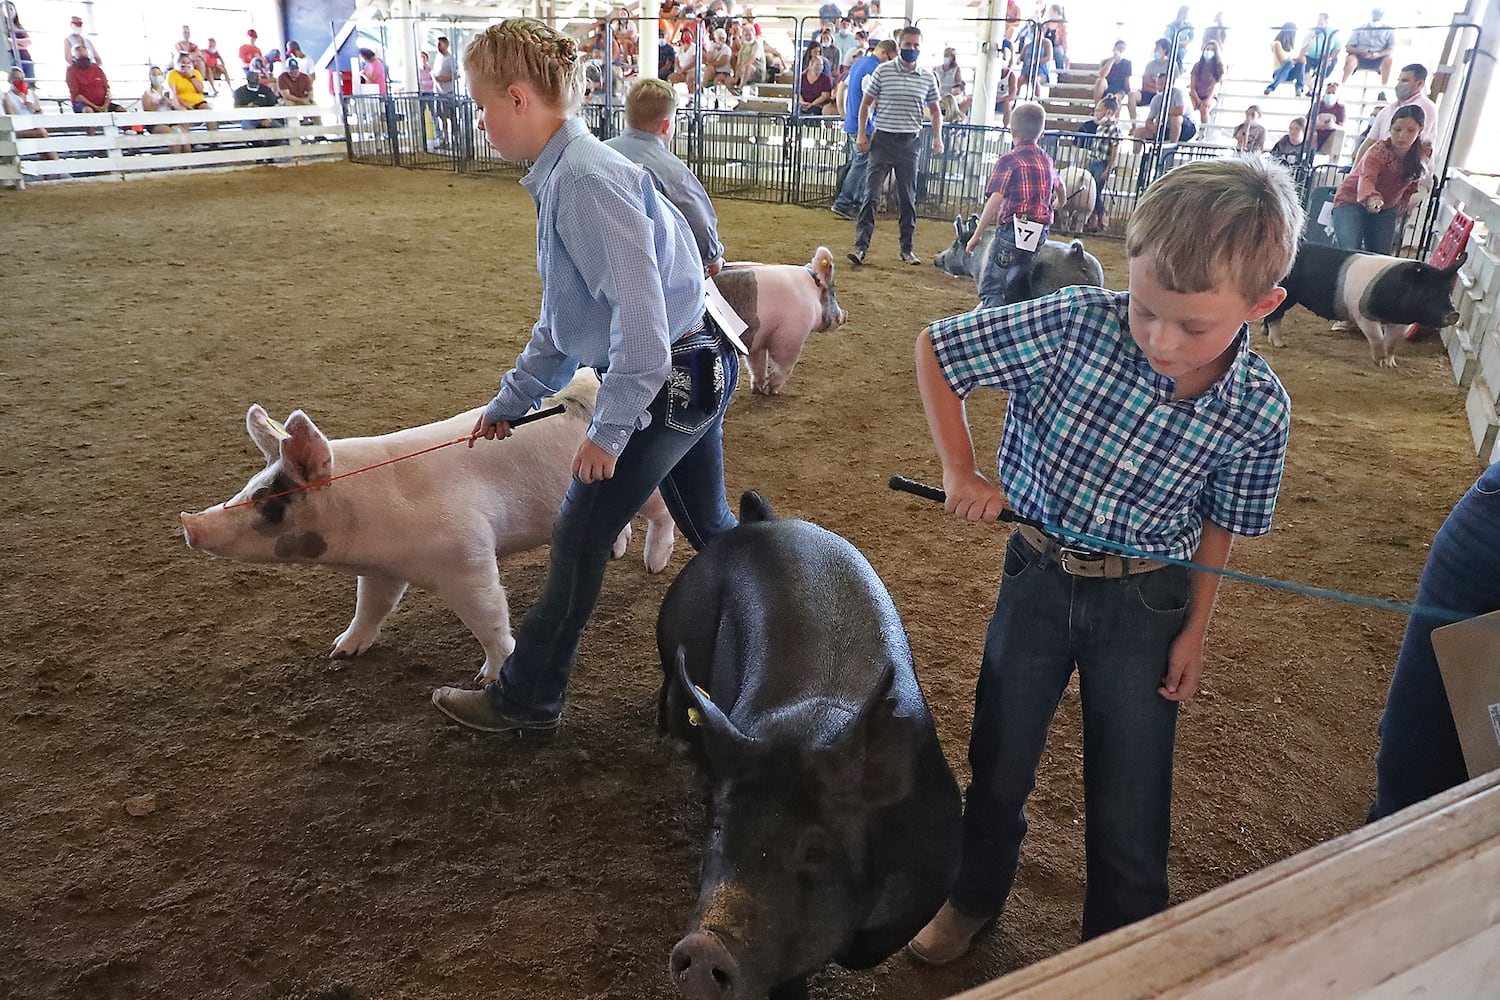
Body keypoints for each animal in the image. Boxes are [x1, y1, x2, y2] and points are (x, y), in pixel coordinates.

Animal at [180, 371, 675, 683]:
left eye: (270, 502)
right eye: (250, 485)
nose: (188, 523)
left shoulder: (467, 557)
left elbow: (489, 616)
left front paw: (488, 678)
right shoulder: (381, 571)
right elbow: (371, 607)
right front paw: (341, 650)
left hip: (646, 481)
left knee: (661, 514)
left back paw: (653, 565)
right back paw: (617, 551)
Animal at [711, 245, 846, 395]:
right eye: (833, 293)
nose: (843, 317)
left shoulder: (758, 338)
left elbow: (757, 364)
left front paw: (758, 389)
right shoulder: (790, 336)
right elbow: (784, 365)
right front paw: (771, 390)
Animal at [1266, 241, 1464, 367]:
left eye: (1447, 291)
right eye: (1427, 292)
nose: (1453, 314)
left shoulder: (1402, 322)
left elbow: (1392, 342)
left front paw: (1391, 364)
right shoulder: (1363, 314)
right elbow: (1376, 337)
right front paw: (1380, 361)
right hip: (1287, 293)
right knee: (1275, 315)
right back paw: (1280, 344)